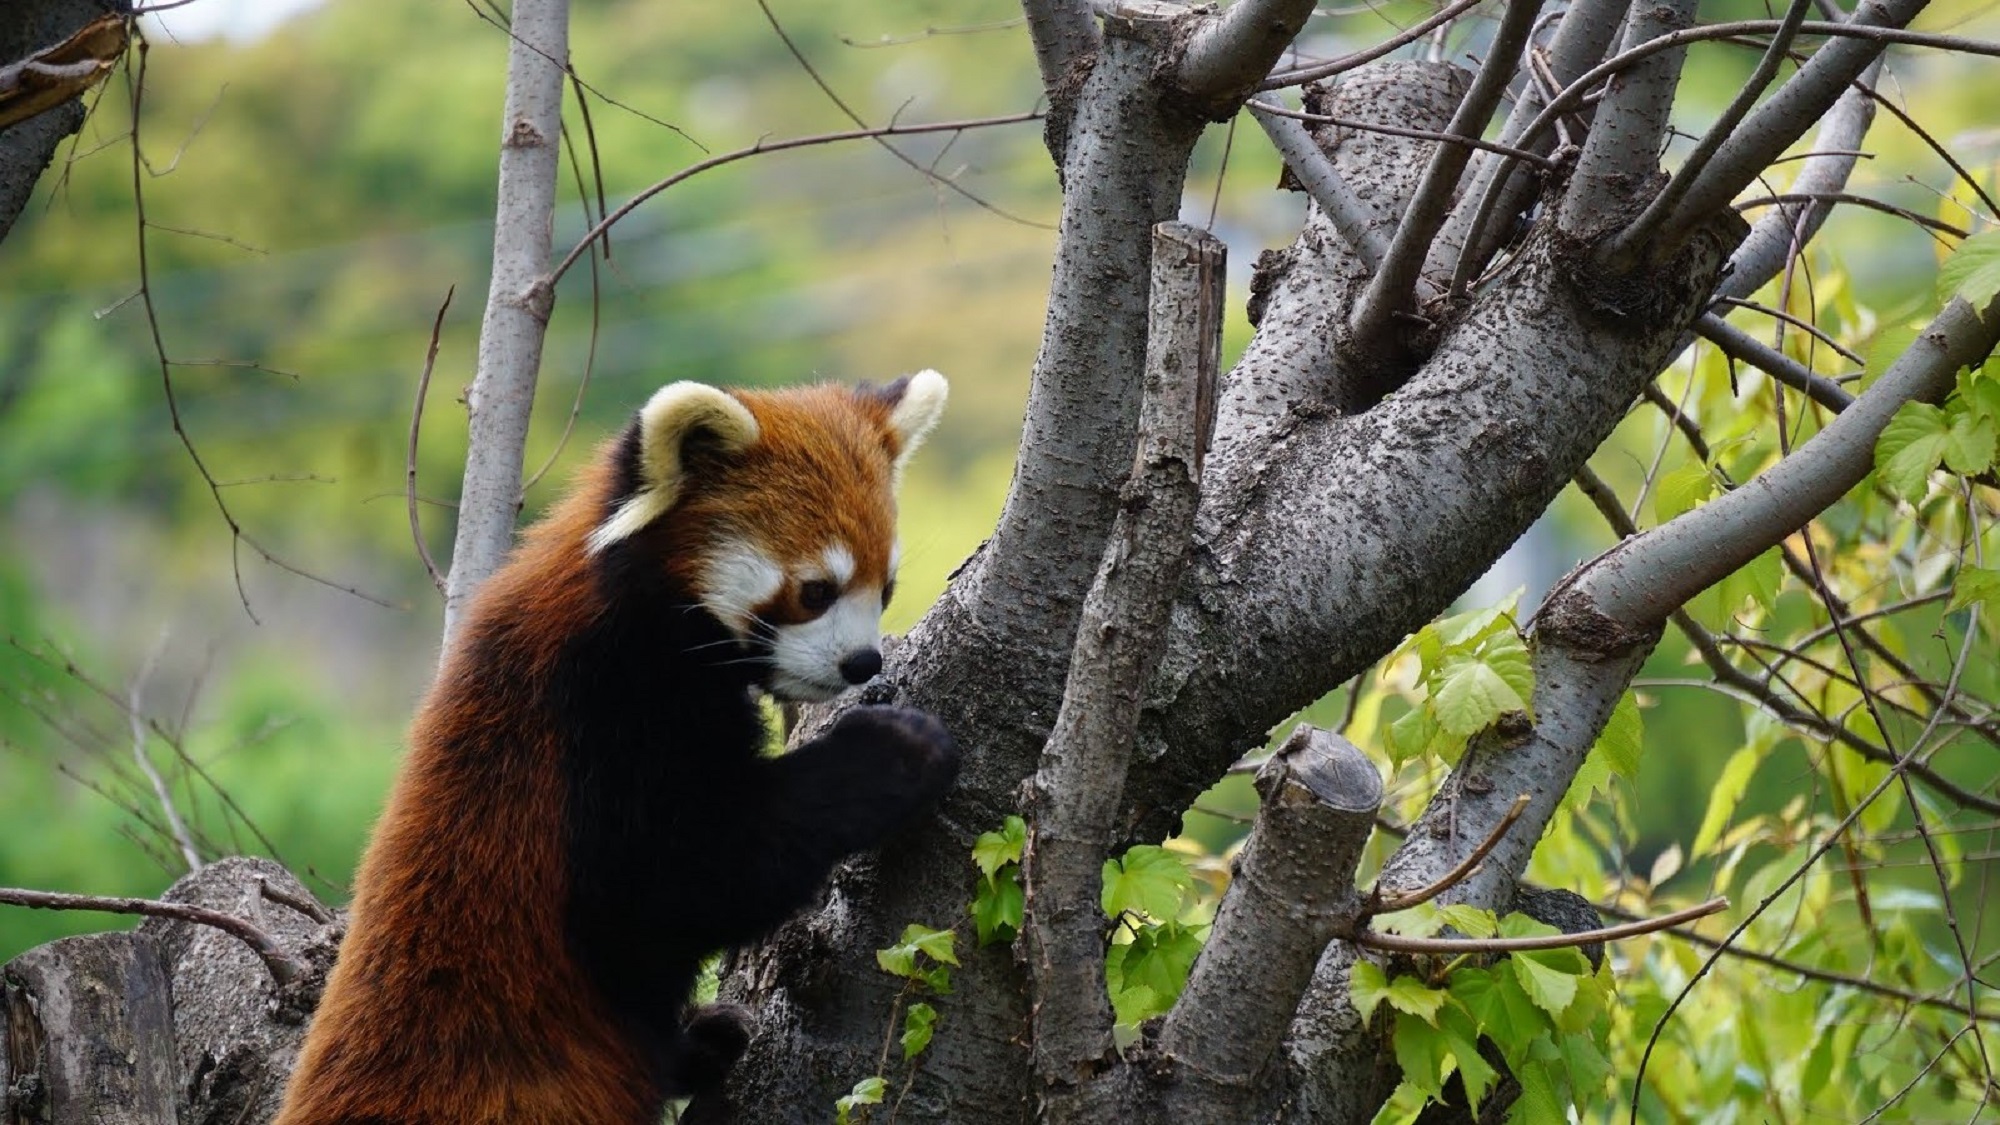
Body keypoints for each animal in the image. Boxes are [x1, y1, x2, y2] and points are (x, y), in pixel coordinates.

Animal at [278, 374, 956, 1120]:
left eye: (885, 588)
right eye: (816, 591)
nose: (863, 663)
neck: (643, 614)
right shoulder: (602, 713)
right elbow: (672, 880)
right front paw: (890, 753)